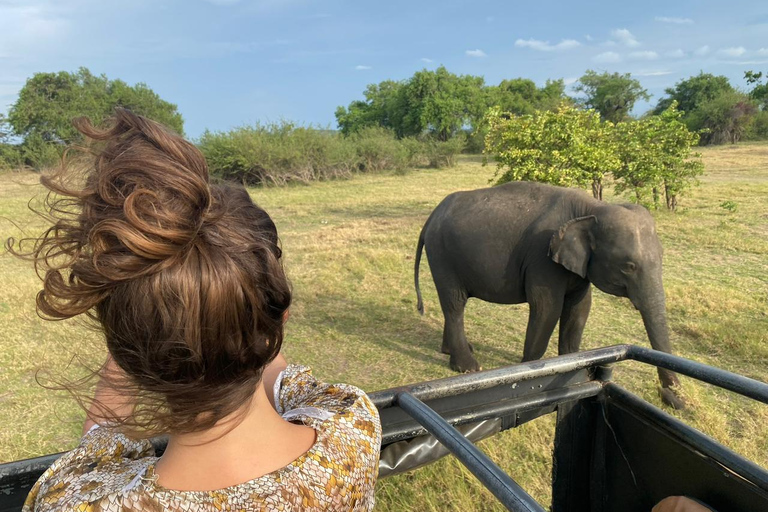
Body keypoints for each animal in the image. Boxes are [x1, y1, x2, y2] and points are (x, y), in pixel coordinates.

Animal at [416, 182, 688, 410]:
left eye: (662, 256)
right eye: (628, 266)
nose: (673, 398)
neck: (592, 209)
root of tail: (432, 216)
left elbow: (579, 308)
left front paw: (570, 369)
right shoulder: (542, 256)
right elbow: (548, 307)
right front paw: (528, 371)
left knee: (452, 305)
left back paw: (449, 351)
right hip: (442, 255)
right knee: (455, 304)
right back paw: (468, 367)